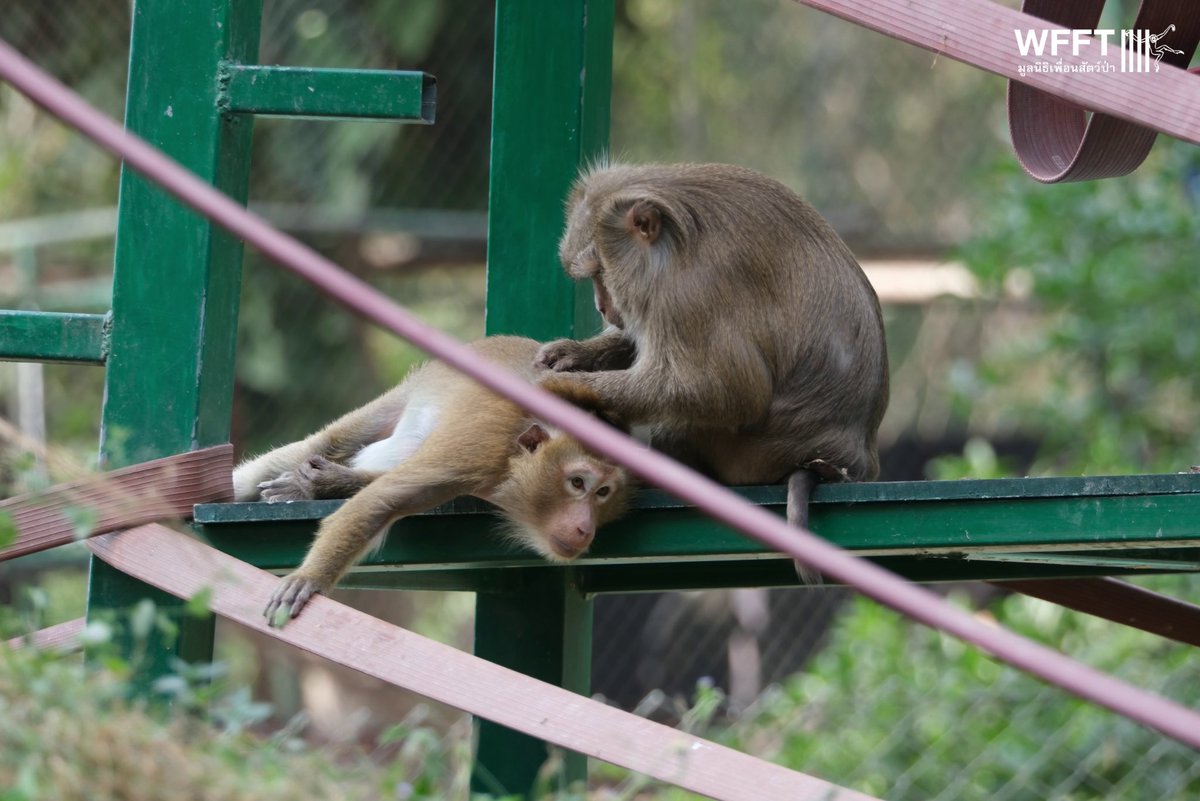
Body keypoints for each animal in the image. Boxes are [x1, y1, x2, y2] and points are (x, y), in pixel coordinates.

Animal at [232, 336, 632, 624]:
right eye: (577, 483)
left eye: (603, 492)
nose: (584, 528)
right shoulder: (477, 450)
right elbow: (382, 499)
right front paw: (310, 578)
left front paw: (324, 485)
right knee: (329, 443)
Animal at [535, 163, 889, 581]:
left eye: (600, 272)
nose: (602, 307)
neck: (671, 247)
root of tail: (849, 461)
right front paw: (573, 356)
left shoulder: (686, 293)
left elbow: (730, 392)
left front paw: (569, 388)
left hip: (751, 455)